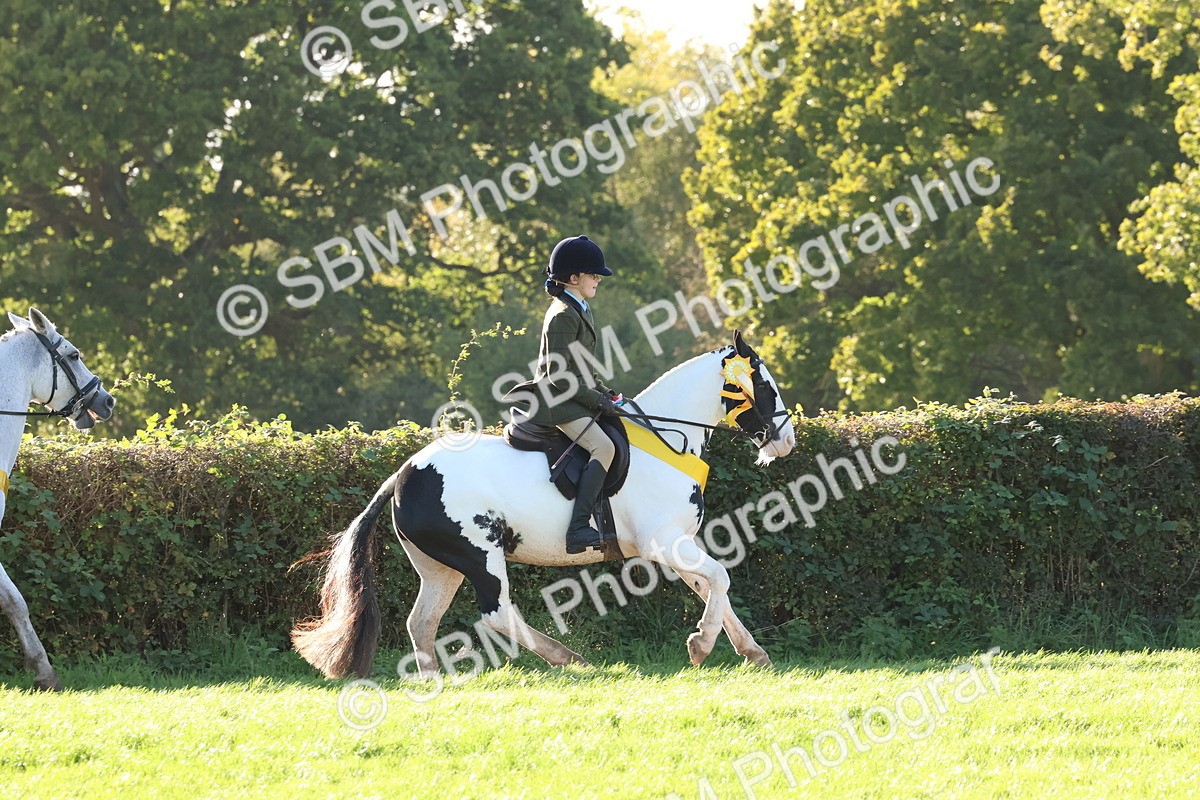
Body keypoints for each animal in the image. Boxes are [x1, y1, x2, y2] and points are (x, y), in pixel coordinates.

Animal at [292, 332, 796, 680]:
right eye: (765, 386)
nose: (786, 440)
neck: (666, 440)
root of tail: (402, 475)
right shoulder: (663, 541)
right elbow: (720, 578)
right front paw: (701, 645)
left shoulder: (673, 544)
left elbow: (712, 588)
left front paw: (751, 652)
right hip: (480, 554)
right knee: (496, 612)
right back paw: (568, 657)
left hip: (441, 567)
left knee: (423, 622)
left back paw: (434, 682)